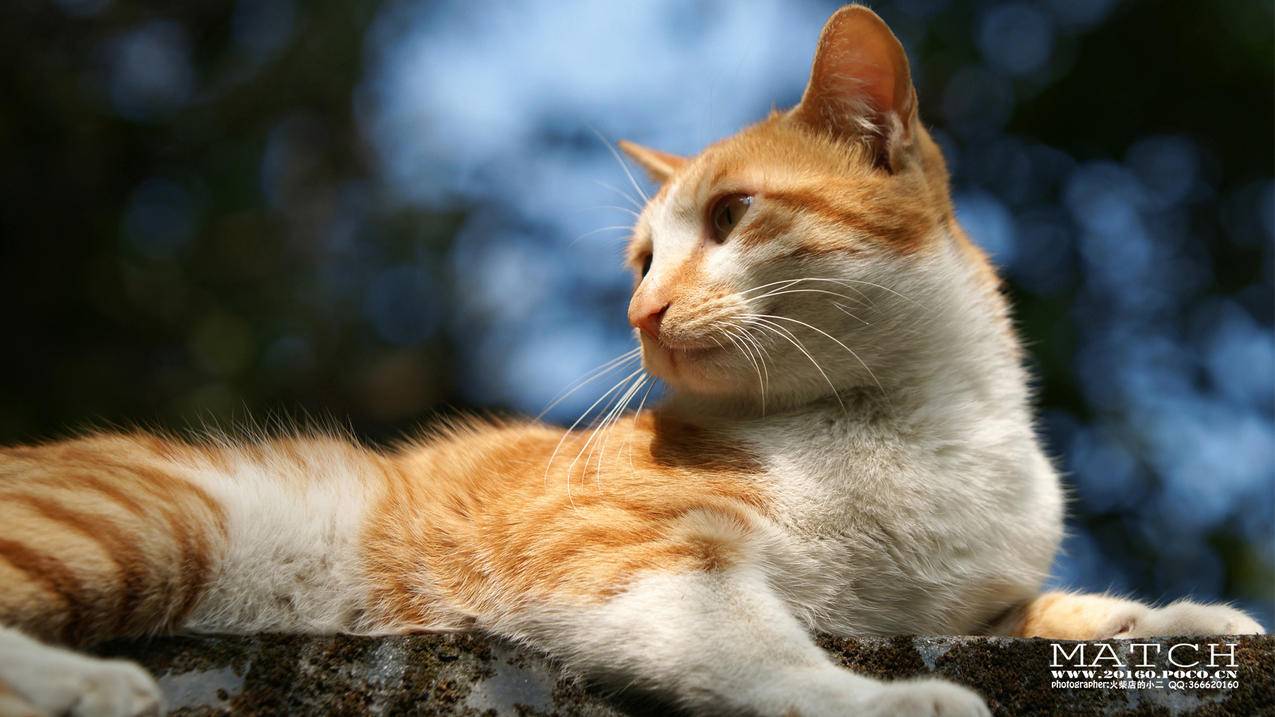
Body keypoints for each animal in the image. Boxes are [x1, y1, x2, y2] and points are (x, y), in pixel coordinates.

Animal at [0, 6, 1259, 714]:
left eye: (734, 214)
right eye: (643, 255)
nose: (640, 310)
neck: (915, 423)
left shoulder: (967, 601)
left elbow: (1064, 611)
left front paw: (1186, 622)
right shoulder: (613, 548)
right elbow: (750, 641)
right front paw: (879, 701)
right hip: (155, 519)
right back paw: (82, 684)